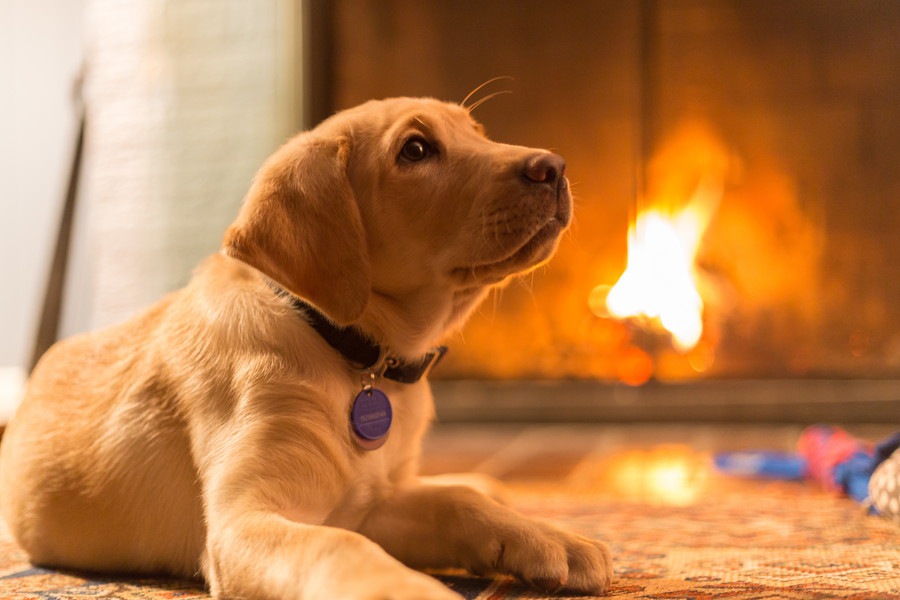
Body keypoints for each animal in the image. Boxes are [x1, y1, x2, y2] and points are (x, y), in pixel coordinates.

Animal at [0, 96, 612, 596]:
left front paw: (550, 536)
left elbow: (455, 501)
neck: (352, 352)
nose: (554, 166)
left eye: (478, 132)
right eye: (415, 150)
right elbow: (341, 547)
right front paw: (406, 589)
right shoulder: (245, 522)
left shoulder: (373, 502)